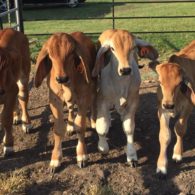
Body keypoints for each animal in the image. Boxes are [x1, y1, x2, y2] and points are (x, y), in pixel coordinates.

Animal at [34, 31, 96, 171]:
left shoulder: (84, 97)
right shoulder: (55, 100)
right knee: (71, 109)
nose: (61, 78)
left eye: (71, 53)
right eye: (50, 55)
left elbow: (80, 126)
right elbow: (58, 129)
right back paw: (70, 126)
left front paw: (82, 155)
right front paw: (55, 159)